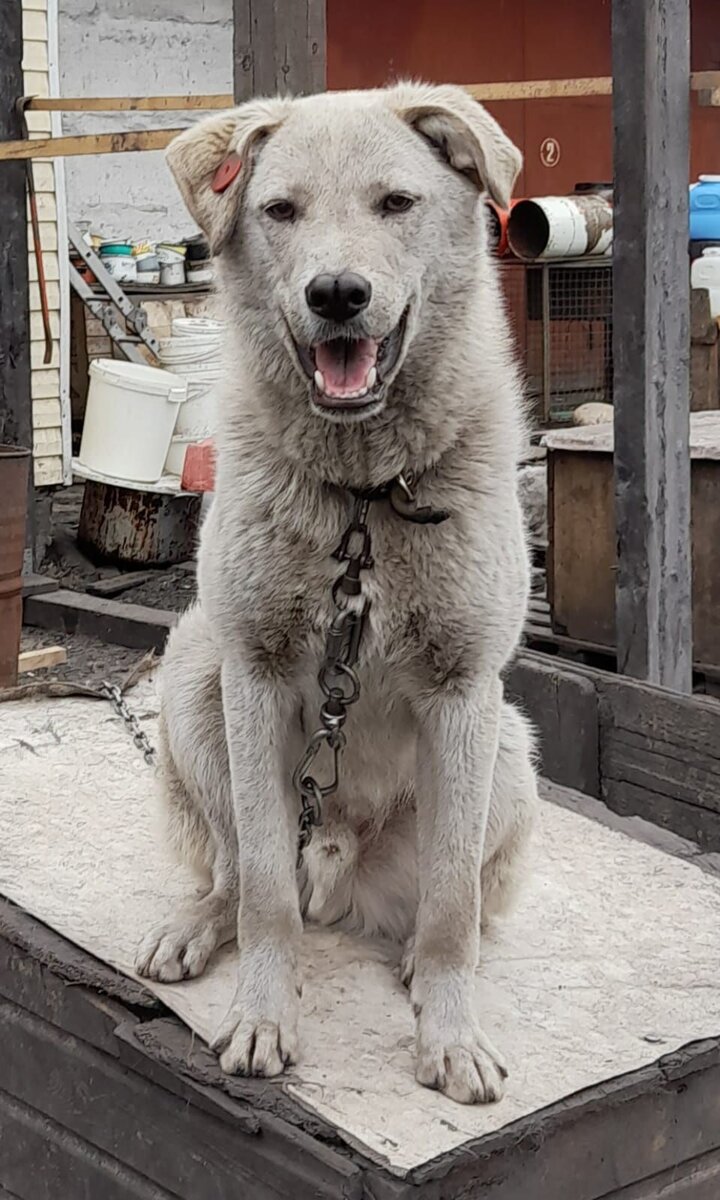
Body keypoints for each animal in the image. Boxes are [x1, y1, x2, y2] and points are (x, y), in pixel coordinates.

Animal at [136, 84, 540, 1104]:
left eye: (396, 203)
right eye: (281, 211)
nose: (337, 295)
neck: (363, 494)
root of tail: (339, 865)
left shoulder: (466, 693)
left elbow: (450, 899)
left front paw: (451, 1036)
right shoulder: (255, 672)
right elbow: (265, 894)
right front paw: (264, 1015)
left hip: (511, 752)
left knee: (449, 904)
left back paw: (429, 966)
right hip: (193, 682)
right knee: (244, 870)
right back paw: (199, 924)